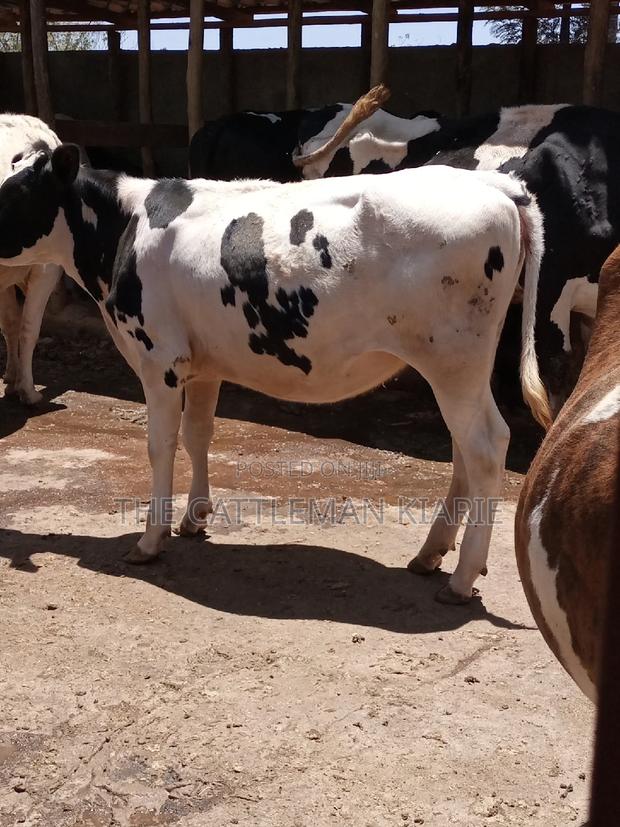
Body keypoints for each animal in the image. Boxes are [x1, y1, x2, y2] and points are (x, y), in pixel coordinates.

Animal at [0, 143, 551, 604]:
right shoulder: (202, 365)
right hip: (460, 368)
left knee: (485, 448)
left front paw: (151, 538)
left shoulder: (159, 359)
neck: (126, 226)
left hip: (454, 360)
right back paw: (431, 553)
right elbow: (199, 434)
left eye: (15, 192)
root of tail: (494, 185)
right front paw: (194, 518)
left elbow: (161, 445)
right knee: (464, 452)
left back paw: (461, 578)